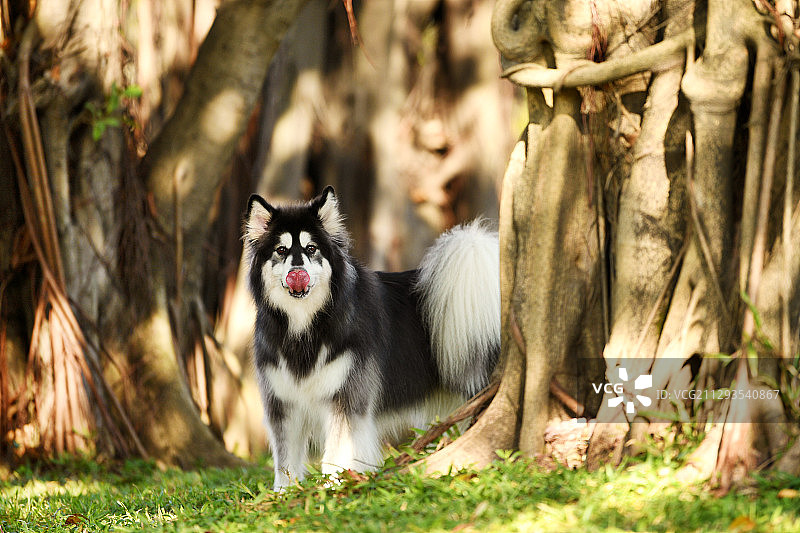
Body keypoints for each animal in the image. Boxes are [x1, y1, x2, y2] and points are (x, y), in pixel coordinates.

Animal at [244, 188, 496, 490]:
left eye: (311, 249)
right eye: (281, 250)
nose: (297, 273)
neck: (305, 327)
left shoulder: (346, 399)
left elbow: (337, 454)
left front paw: (333, 488)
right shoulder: (284, 404)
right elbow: (285, 464)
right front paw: (284, 494)